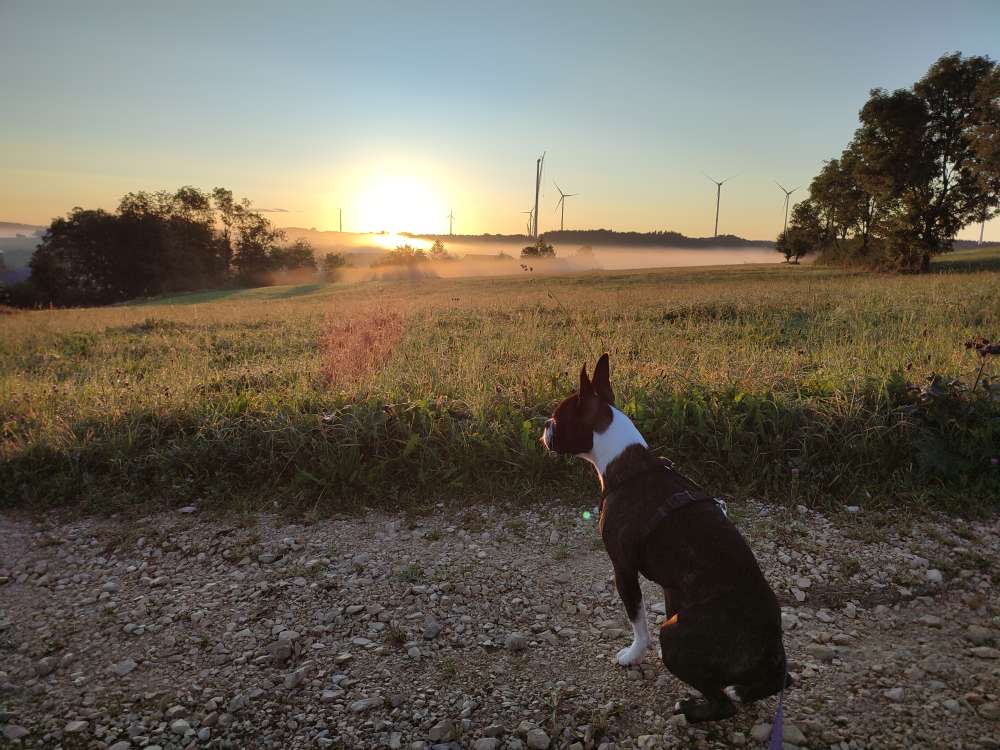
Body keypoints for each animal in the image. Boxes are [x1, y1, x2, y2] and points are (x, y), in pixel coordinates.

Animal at [540, 356, 788, 724]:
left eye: (557, 419)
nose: (545, 427)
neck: (626, 463)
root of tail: (771, 645)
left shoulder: (623, 569)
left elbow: (638, 620)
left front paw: (633, 654)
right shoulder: (674, 588)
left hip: (674, 636)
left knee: (723, 704)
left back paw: (690, 709)